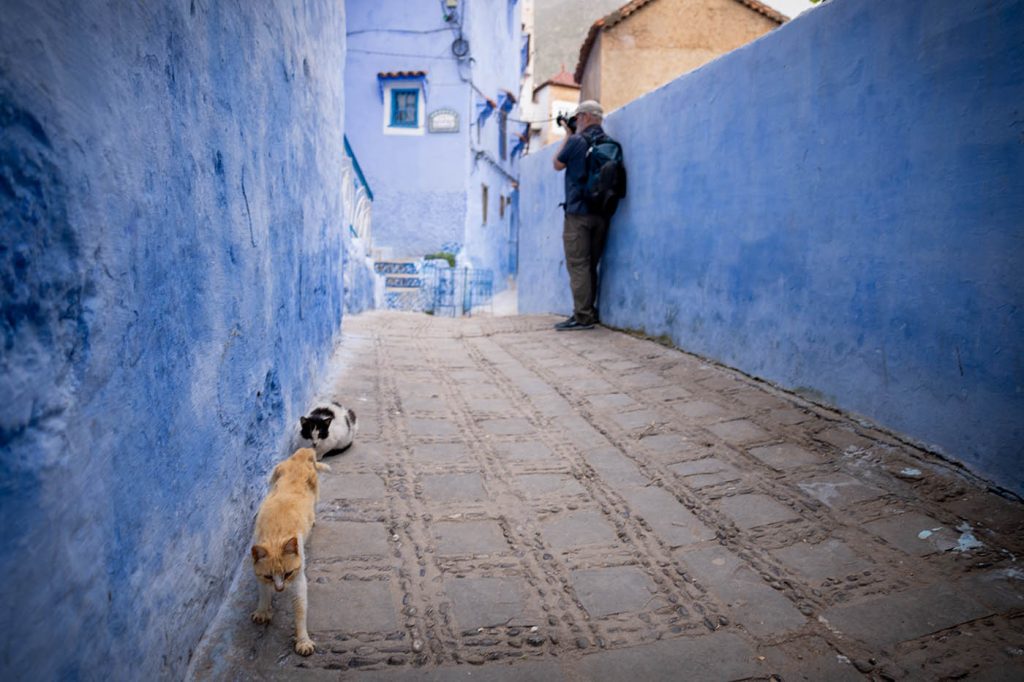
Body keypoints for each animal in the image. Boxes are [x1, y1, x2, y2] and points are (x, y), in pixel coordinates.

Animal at [247, 446, 327, 655]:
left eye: (288, 573)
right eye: (269, 576)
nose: (280, 589)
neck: (276, 536)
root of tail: (301, 454)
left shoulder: (299, 580)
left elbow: (300, 610)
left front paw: (303, 641)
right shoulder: (259, 573)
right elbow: (263, 592)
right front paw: (263, 610)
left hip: (316, 496)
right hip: (272, 478)